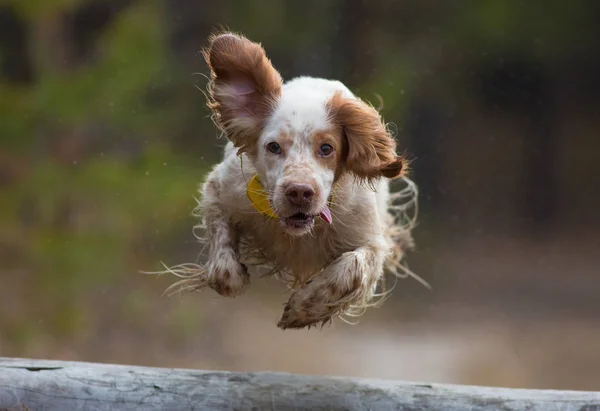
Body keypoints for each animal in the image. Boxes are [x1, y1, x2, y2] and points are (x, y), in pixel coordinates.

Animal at [162, 31, 420, 332]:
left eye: (327, 148)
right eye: (273, 147)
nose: (299, 192)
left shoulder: (370, 239)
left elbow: (352, 268)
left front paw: (304, 308)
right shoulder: (221, 191)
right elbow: (222, 258)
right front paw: (234, 278)